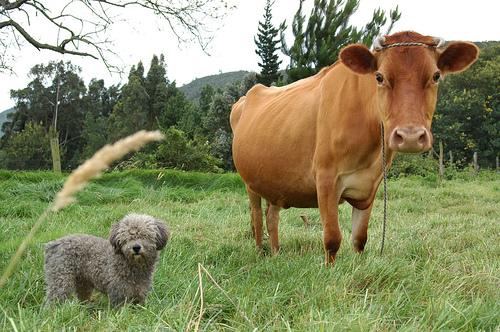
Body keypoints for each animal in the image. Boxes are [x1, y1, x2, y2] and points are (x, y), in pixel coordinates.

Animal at [230, 31, 476, 264]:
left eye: (436, 76)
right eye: (379, 77)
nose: (410, 136)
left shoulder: (370, 184)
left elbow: (359, 239)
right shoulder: (325, 179)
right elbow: (332, 239)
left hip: (276, 183)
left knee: (272, 216)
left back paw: (276, 253)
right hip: (250, 183)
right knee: (257, 219)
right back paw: (260, 253)